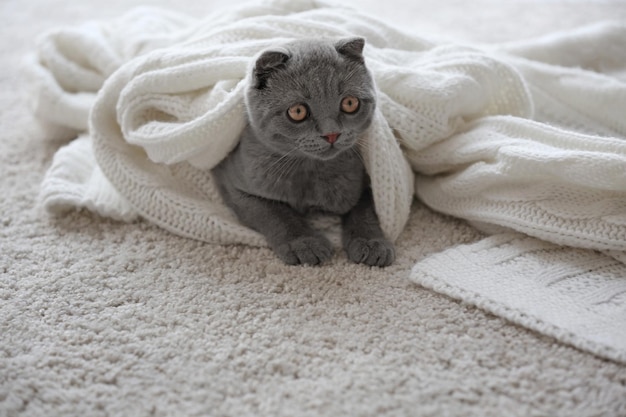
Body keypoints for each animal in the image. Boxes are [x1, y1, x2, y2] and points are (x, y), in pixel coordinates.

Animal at [212, 38, 392, 266]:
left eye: (350, 103)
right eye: (297, 111)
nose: (331, 134)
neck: (309, 171)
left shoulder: (362, 178)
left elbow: (365, 207)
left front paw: (371, 242)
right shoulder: (233, 183)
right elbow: (274, 212)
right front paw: (304, 243)